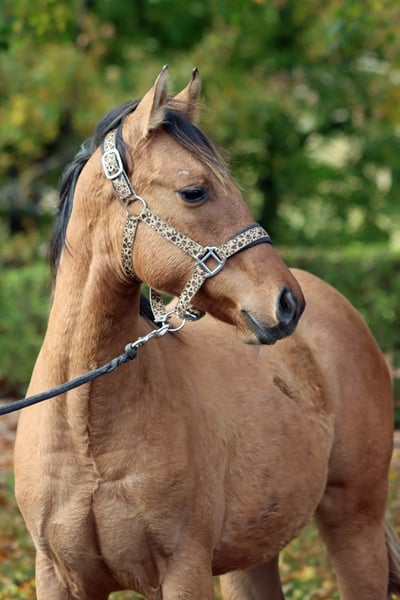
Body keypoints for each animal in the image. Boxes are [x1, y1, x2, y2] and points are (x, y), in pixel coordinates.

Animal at [14, 66, 400, 600]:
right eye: (195, 191)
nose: (288, 303)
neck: (84, 427)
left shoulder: (184, 570)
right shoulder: (57, 576)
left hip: (354, 523)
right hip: (253, 555)